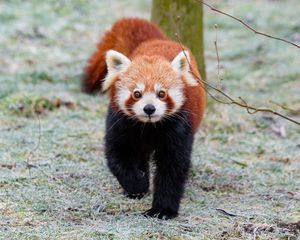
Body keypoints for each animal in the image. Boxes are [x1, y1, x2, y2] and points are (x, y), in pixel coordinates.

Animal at [82, 17, 206, 219]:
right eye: (137, 94)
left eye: (161, 93)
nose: (149, 108)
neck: (149, 127)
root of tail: (155, 41)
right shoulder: (120, 122)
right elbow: (117, 156)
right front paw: (137, 185)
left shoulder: (179, 127)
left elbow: (173, 168)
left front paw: (163, 210)